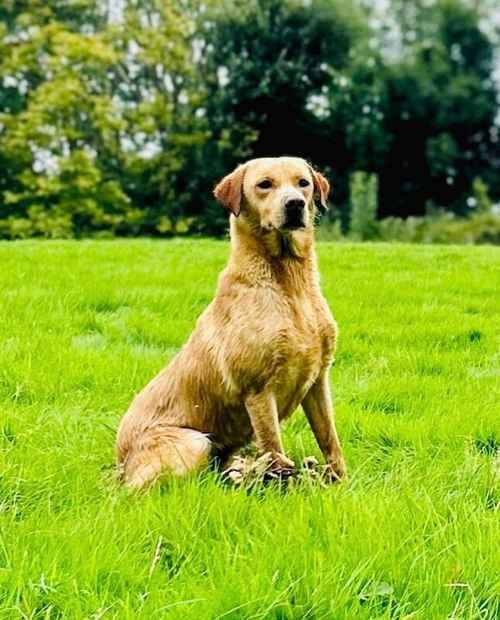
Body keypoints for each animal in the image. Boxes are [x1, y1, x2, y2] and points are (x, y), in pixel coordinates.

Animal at [115, 157, 346, 486]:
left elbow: (330, 440)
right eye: (265, 184)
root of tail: (119, 462)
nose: (295, 204)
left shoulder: (318, 380)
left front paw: (340, 483)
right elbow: (274, 448)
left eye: (303, 183)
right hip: (195, 441)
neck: (288, 282)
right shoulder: (258, 390)